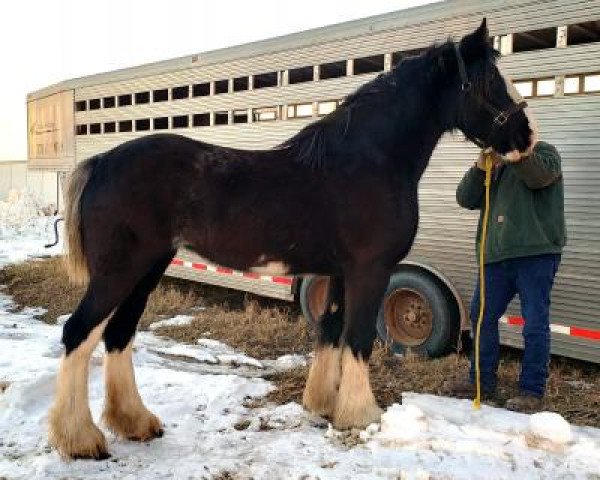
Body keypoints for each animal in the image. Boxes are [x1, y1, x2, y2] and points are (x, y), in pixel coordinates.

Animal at [48, 18, 536, 460]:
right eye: (489, 81)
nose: (526, 137)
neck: (368, 162)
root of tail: (101, 163)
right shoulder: (371, 270)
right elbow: (359, 337)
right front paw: (361, 415)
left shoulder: (340, 272)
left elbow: (332, 331)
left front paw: (322, 405)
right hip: (120, 270)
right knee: (79, 332)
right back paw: (80, 440)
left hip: (148, 268)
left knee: (118, 334)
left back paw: (135, 423)